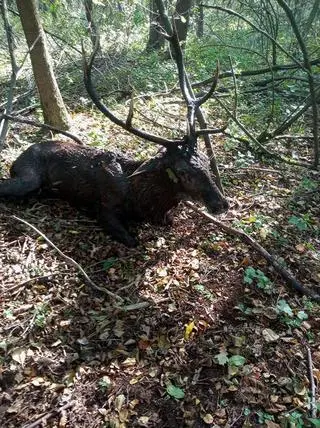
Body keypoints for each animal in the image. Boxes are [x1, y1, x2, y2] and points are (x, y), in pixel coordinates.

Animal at [0, 5, 230, 247]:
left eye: (207, 161)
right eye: (183, 172)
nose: (222, 204)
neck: (141, 199)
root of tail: (20, 156)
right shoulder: (105, 210)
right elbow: (132, 240)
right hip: (28, 175)